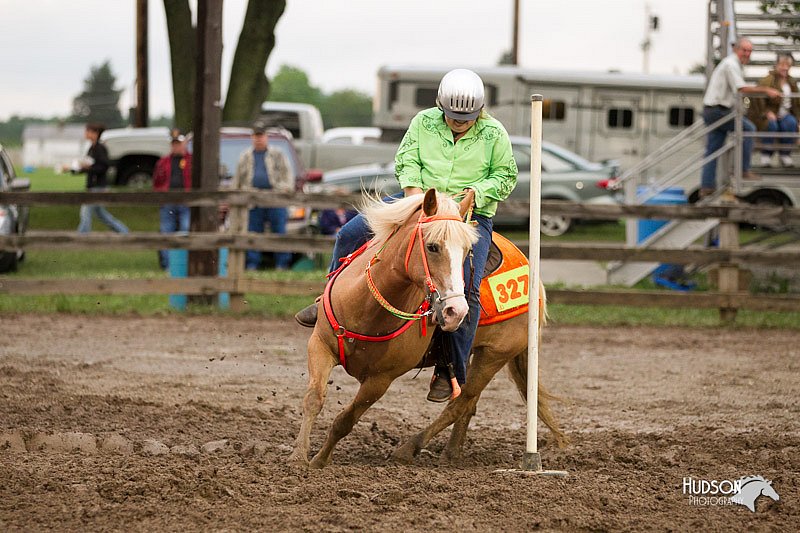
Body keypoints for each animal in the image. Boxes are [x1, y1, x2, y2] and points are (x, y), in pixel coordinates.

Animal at [290, 189, 564, 468]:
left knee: (461, 402)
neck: (367, 308)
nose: (456, 311)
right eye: (432, 247)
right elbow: (313, 398)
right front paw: (298, 456)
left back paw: (409, 448)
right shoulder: (320, 345)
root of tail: (535, 280)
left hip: (494, 355)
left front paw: (319, 460)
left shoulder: (380, 380)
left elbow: (345, 420)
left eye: (468, 251)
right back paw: (451, 453)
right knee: (469, 405)